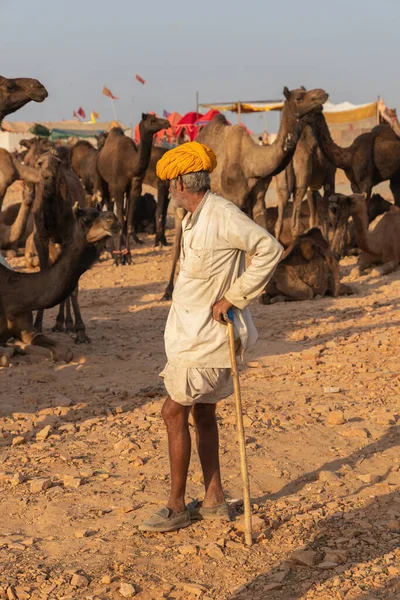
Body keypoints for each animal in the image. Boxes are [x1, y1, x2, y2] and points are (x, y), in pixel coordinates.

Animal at [0, 206, 119, 366]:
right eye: (86, 220)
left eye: (97, 211)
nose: (113, 219)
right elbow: (4, 356)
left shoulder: (27, 329)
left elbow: (64, 351)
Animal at [97, 113, 172, 264]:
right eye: (152, 120)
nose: (167, 122)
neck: (130, 165)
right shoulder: (119, 187)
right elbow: (121, 220)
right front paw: (119, 259)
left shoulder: (135, 188)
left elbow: (129, 221)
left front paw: (128, 256)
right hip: (104, 183)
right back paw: (112, 252)